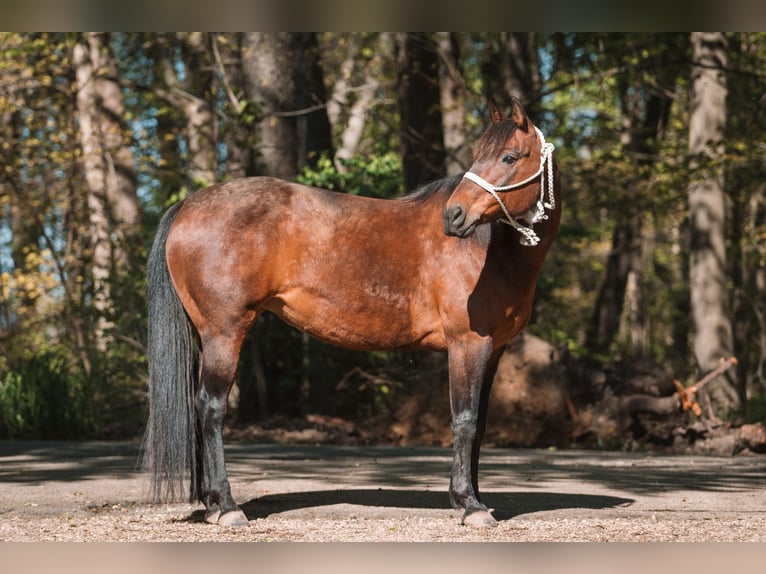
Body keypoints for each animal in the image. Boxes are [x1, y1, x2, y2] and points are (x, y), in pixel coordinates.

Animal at [143, 96, 561, 528]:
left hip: (207, 336)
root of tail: (188, 205)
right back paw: (227, 507)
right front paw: (470, 505)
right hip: (224, 333)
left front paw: (473, 499)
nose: (454, 215)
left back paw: (211, 504)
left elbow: (479, 426)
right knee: (211, 408)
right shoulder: (467, 345)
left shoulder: (493, 351)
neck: (492, 249)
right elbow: (465, 420)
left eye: (509, 157)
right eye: (481, 156)